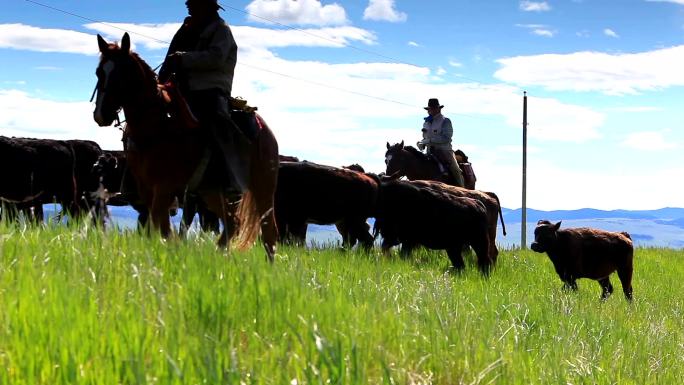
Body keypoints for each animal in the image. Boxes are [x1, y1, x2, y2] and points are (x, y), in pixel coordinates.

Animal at [92, 33, 280, 260]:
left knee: (269, 231)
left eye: (123, 73)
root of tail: (266, 132)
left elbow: (161, 228)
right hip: (211, 191)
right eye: (99, 72)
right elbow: (158, 228)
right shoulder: (147, 189)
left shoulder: (164, 188)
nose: (101, 115)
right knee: (232, 222)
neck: (158, 122)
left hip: (263, 188)